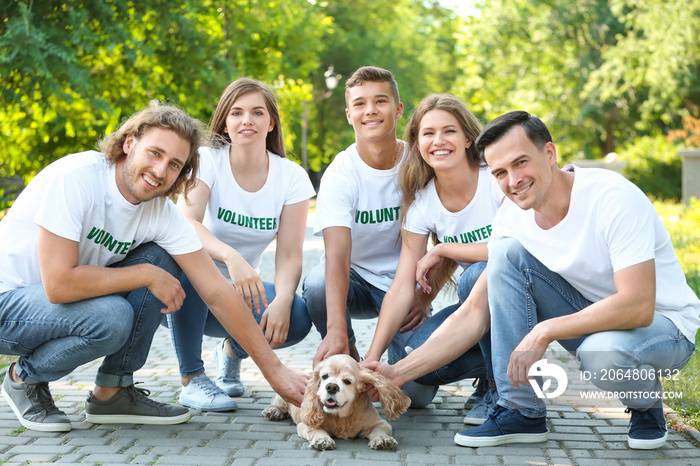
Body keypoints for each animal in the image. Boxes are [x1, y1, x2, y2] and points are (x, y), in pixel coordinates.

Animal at [262, 354, 410, 450]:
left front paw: (382, 439)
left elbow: (380, 430)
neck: (341, 417)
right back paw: (273, 412)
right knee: (276, 403)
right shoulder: (305, 425)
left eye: (347, 381)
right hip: (282, 395)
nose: (331, 387)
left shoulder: (380, 423)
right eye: (324, 376)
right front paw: (323, 440)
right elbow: (317, 430)